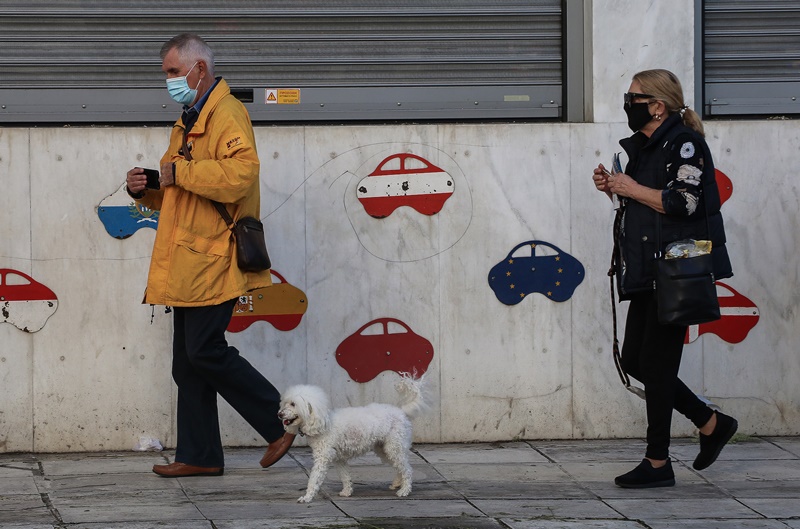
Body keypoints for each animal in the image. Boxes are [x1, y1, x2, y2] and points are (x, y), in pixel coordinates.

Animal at [278, 374, 424, 502]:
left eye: (293, 404)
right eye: (285, 403)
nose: (279, 414)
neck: (322, 421)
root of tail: (402, 412)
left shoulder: (322, 458)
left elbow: (314, 479)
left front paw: (307, 497)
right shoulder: (339, 458)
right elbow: (345, 476)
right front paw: (347, 492)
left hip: (394, 446)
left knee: (407, 469)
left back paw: (404, 490)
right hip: (384, 449)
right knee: (399, 466)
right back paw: (397, 484)